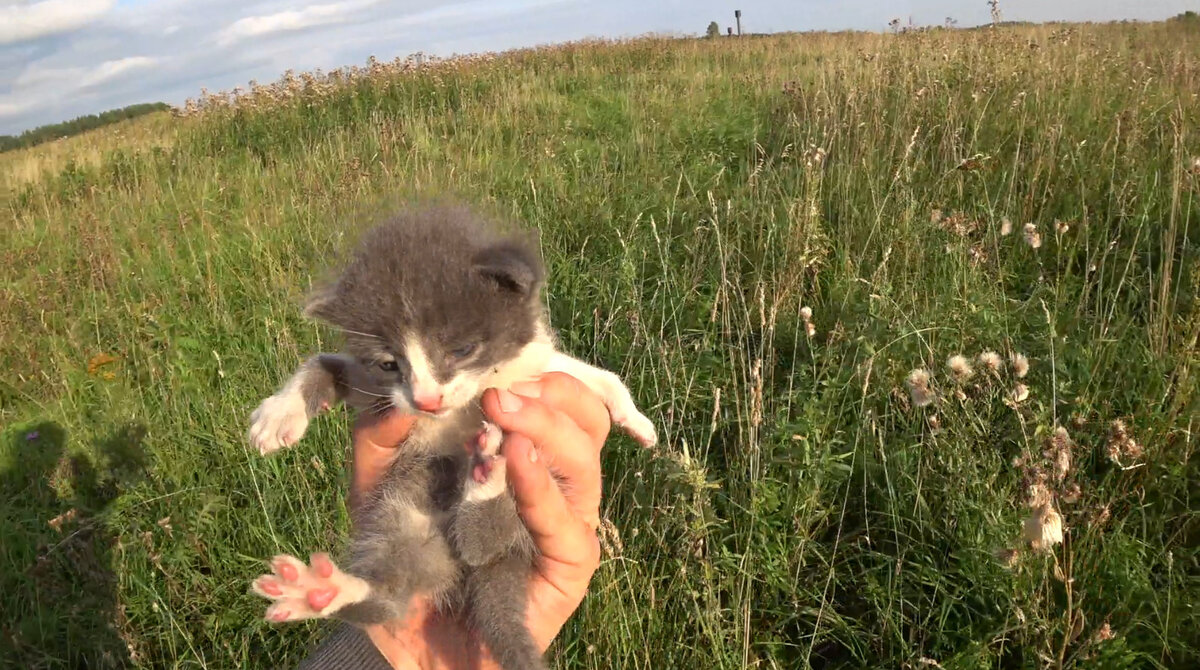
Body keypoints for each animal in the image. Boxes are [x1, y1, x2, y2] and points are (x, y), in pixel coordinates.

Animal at [246, 204, 657, 670]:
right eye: (389, 363)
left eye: (460, 350)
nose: (426, 400)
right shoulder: (380, 391)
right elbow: (322, 362)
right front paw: (278, 414)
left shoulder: (536, 371)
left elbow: (597, 377)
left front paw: (635, 420)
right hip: (403, 513)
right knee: (395, 595)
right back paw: (324, 592)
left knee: (485, 545)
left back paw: (486, 476)